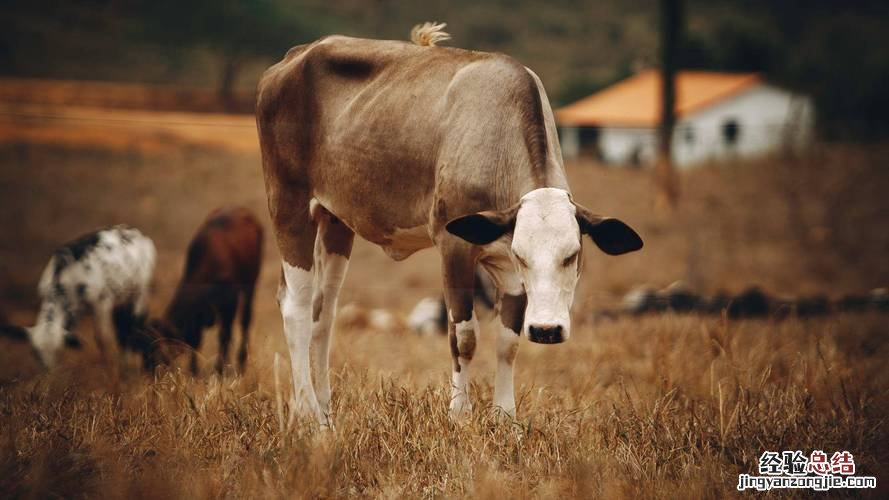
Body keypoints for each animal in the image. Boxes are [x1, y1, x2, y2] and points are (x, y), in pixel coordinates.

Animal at [0, 227, 156, 372]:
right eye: (34, 352)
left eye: (58, 351)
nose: (48, 372)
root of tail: (134, 232)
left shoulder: (102, 302)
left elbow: (103, 339)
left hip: (140, 292)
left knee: (133, 323)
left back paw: (126, 364)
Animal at [155, 207, 264, 376]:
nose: (153, 371)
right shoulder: (198, 316)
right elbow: (195, 341)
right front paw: (194, 372)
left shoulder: (229, 302)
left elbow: (224, 335)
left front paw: (220, 370)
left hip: (250, 285)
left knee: (245, 321)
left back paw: (241, 363)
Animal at [253, 21, 640, 424]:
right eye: (523, 255)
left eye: (573, 254)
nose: (546, 329)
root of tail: (296, 55)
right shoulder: (455, 248)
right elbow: (464, 336)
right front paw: (459, 414)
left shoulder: (505, 269)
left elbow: (508, 342)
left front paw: (506, 418)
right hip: (289, 205)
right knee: (296, 308)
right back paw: (308, 413)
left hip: (334, 222)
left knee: (322, 313)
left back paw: (324, 411)